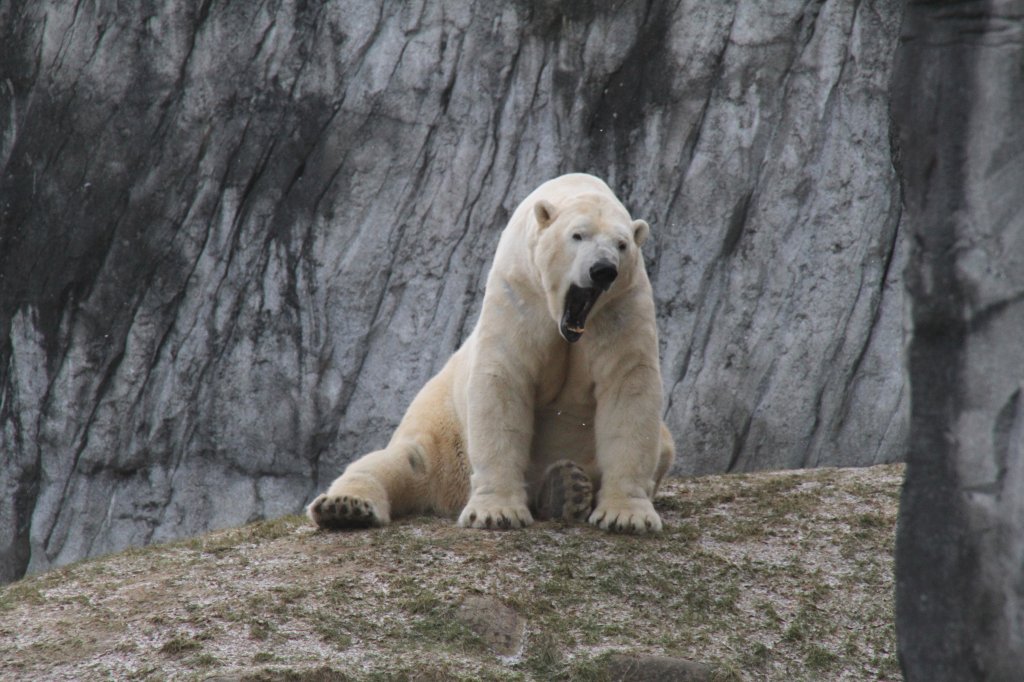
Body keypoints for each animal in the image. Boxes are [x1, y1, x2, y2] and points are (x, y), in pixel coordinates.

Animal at [305, 173, 671, 532]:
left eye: (622, 244)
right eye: (577, 235)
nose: (603, 269)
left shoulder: (622, 307)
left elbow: (628, 387)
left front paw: (626, 516)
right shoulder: (519, 294)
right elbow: (504, 381)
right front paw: (496, 513)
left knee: (662, 445)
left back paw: (565, 489)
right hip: (443, 430)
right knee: (400, 461)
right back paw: (345, 506)